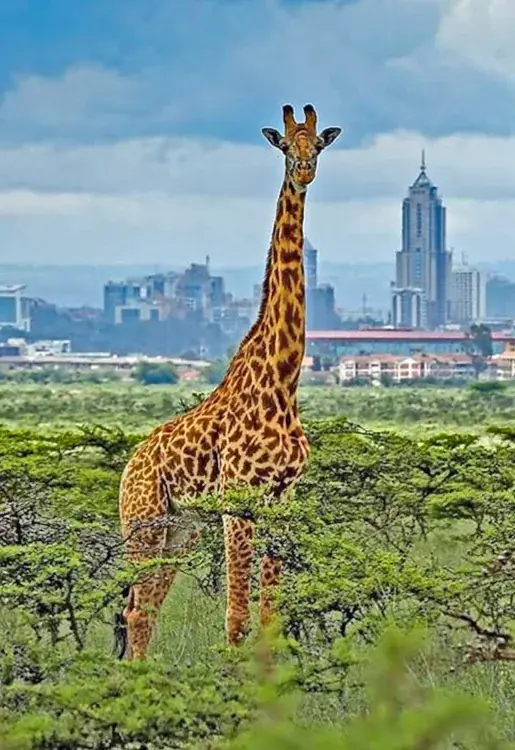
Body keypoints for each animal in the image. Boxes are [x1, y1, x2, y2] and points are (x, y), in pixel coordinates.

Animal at [119, 104, 342, 660]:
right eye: (284, 144)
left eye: (318, 144)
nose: (304, 170)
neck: (282, 379)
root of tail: (129, 466)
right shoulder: (238, 500)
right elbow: (237, 619)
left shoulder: (281, 501)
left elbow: (268, 619)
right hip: (144, 522)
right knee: (135, 609)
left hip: (182, 528)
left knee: (146, 609)